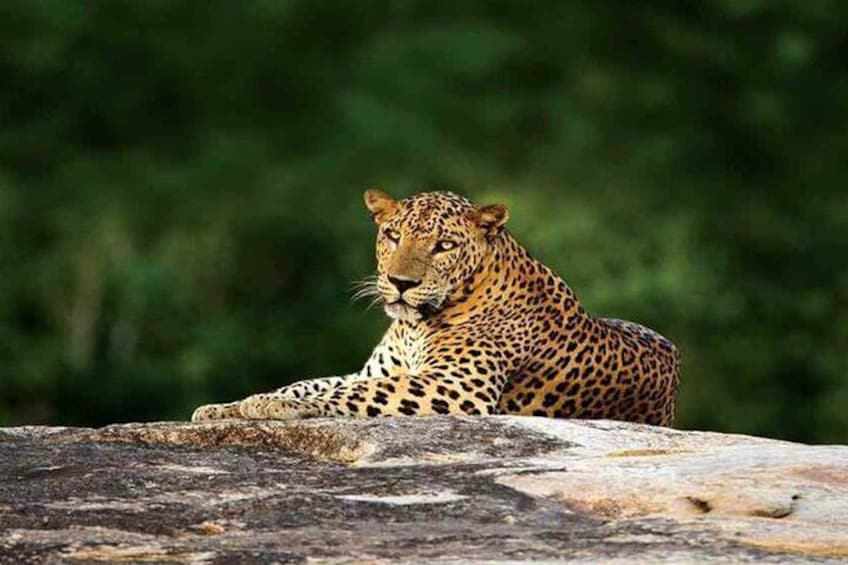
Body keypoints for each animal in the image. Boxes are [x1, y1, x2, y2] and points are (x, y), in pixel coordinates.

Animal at [192, 190, 681, 426]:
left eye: (443, 245)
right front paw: (226, 408)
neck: (414, 326)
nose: (401, 284)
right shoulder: (377, 371)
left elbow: (345, 395)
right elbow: (307, 384)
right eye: (392, 236)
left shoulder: (453, 385)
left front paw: (265, 406)